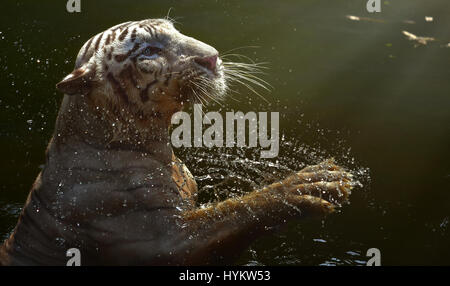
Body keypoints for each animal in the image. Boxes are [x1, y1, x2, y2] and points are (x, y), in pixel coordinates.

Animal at [0, 17, 356, 264]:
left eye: (175, 32)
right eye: (149, 51)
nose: (212, 57)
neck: (157, 146)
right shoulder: (163, 243)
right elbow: (233, 210)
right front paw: (311, 183)